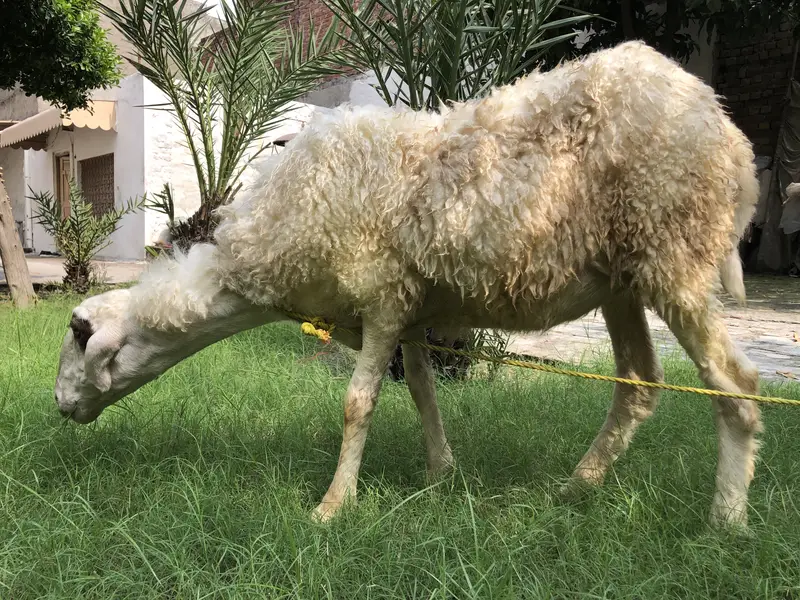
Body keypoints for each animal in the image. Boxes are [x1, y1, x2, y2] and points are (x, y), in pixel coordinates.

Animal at [54, 41, 761, 527]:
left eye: (77, 334)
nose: (59, 408)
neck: (268, 246)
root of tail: (723, 123)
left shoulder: (382, 296)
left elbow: (357, 403)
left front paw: (332, 508)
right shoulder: (409, 309)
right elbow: (421, 390)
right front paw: (440, 474)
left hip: (675, 251)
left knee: (737, 385)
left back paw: (725, 520)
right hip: (621, 279)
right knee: (639, 383)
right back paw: (576, 488)